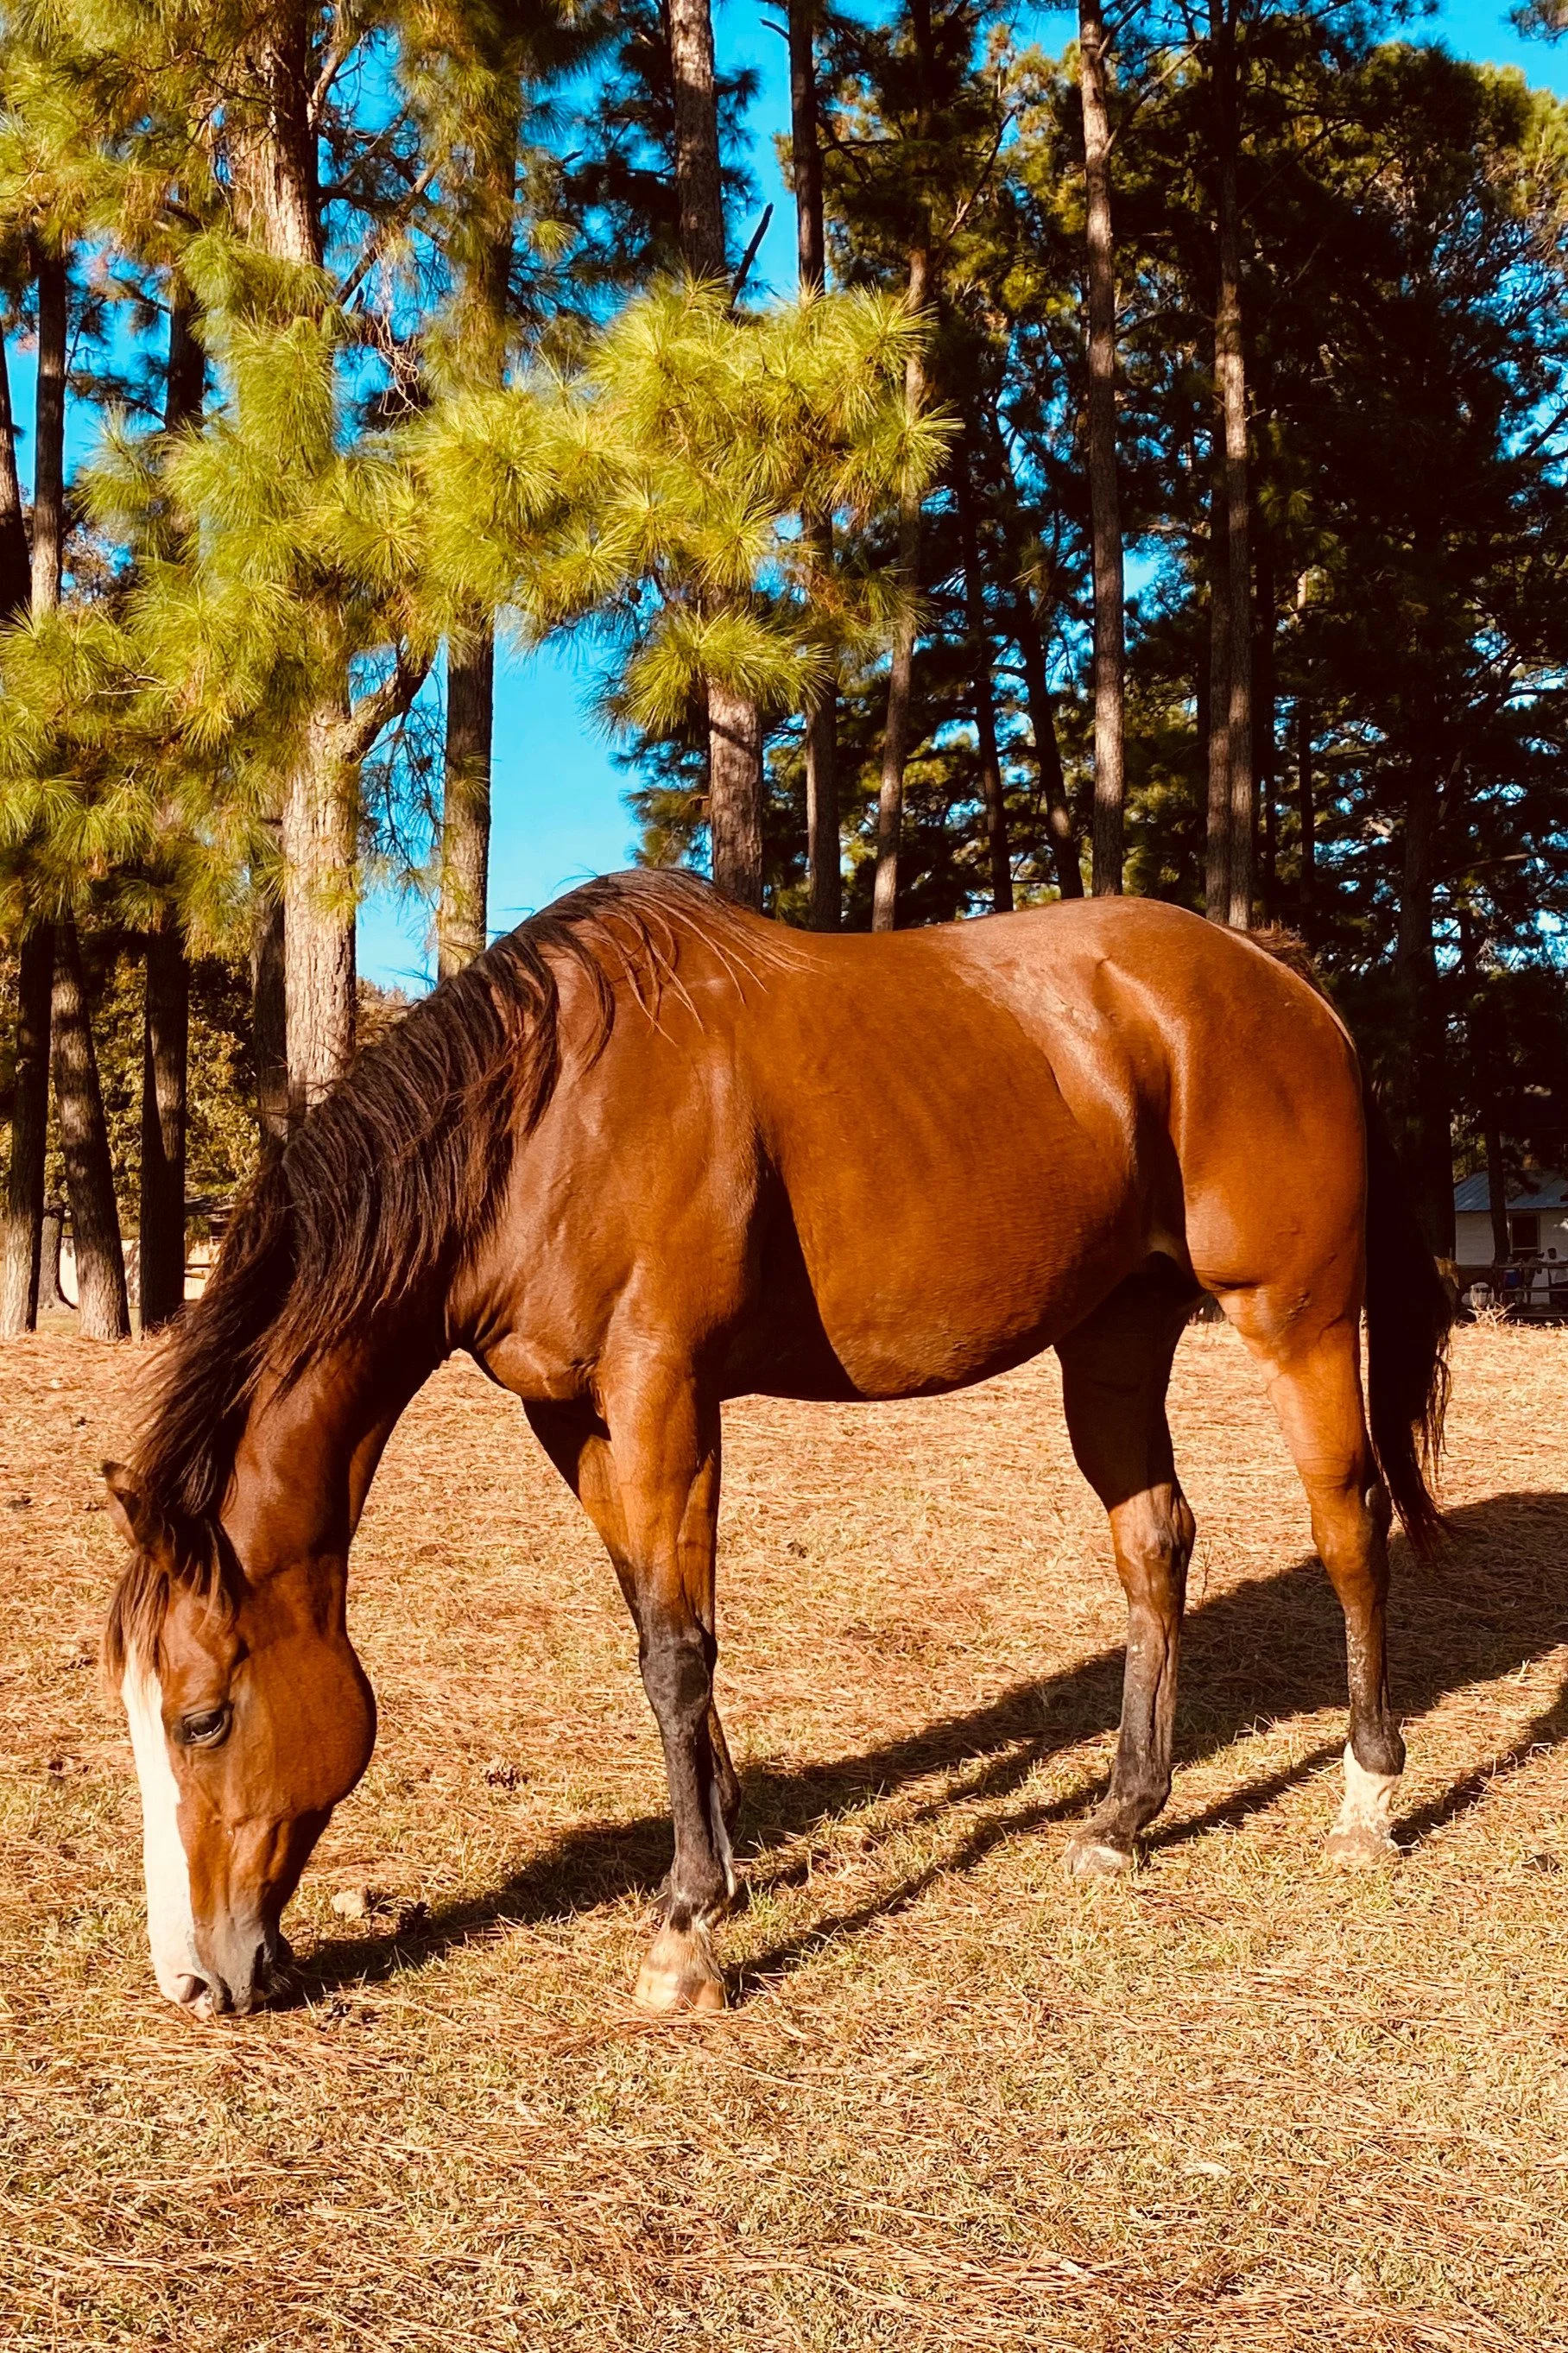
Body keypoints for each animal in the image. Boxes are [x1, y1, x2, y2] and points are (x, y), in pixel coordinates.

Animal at [102, 871, 1450, 2019]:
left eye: (203, 1718)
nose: (195, 1979)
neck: (544, 1127)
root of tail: (1275, 975)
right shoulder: (574, 1418)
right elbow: (657, 1623)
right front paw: (728, 1860)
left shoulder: (663, 1394)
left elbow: (674, 1650)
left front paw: (686, 1930)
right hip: (1112, 1343)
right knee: (1155, 1545)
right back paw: (1123, 1817)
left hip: (1296, 1323)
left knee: (1348, 1525)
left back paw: (1366, 1799)